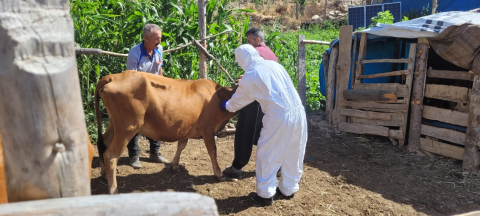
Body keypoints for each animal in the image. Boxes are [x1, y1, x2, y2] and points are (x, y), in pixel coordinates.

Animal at [94, 71, 237, 194]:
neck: (219, 96)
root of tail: (113, 76)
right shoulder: (208, 130)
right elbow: (213, 151)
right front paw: (219, 174)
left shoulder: (185, 128)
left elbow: (181, 146)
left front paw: (174, 166)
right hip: (128, 127)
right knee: (110, 155)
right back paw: (113, 189)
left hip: (114, 124)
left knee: (103, 143)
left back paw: (104, 175)